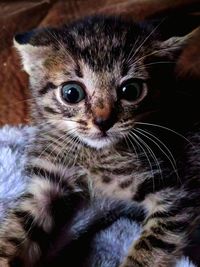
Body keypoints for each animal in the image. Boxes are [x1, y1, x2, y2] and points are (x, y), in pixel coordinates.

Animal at [0, 15, 200, 267]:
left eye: (131, 90)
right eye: (71, 93)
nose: (103, 122)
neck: (93, 154)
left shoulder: (177, 194)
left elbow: (153, 245)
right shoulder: (46, 181)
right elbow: (17, 229)